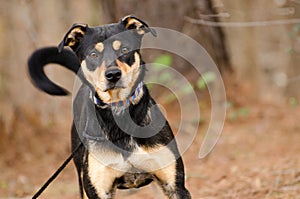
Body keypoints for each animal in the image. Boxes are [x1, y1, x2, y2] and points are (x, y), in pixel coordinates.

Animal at [27, 14, 190, 198]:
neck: (119, 113)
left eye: (124, 50)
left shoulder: (174, 185)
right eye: (93, 54)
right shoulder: (98, 190)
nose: (113, 75)